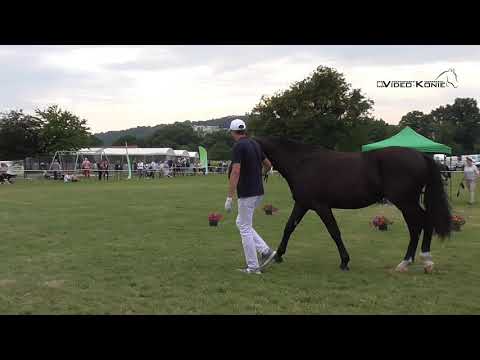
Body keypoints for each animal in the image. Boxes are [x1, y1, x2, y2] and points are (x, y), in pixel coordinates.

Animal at [253, 137, 452, 272]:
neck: (302, 162)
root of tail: (421, 155)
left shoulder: (321, 206)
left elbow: (334, 231)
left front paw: (344, 261)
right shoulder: (303, 204)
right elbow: (289, 227)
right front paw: (278, 255)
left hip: (406, 202)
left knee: (420, 224)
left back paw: (416, 261)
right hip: (407, 203)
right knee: (420, 224)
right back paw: (416, 261)